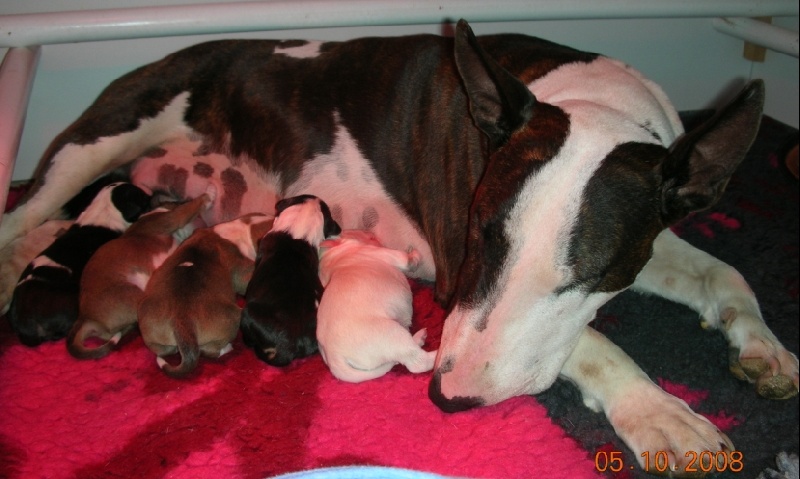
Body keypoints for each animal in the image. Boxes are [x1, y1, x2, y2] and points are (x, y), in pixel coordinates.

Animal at [67, 194, 212, 360]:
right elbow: (187, 209)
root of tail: (84, 317)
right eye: (178, 200)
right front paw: (207, 197)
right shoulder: (172, 218)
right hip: (135, 294)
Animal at [138, 214, 276, 378]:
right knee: (209, 351)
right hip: (233, 318)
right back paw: (226, 349)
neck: (245, 229)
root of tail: (181, 319)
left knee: (163, 351)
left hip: (152, 334)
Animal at [318, 231, 438, 384]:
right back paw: (440, 356)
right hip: (392, 332)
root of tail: (333, 358)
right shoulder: (392, 256)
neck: (333, 257)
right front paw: (414, 251)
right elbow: (410, 260)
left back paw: (419, 339)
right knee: (417, 362)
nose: (370, 232)